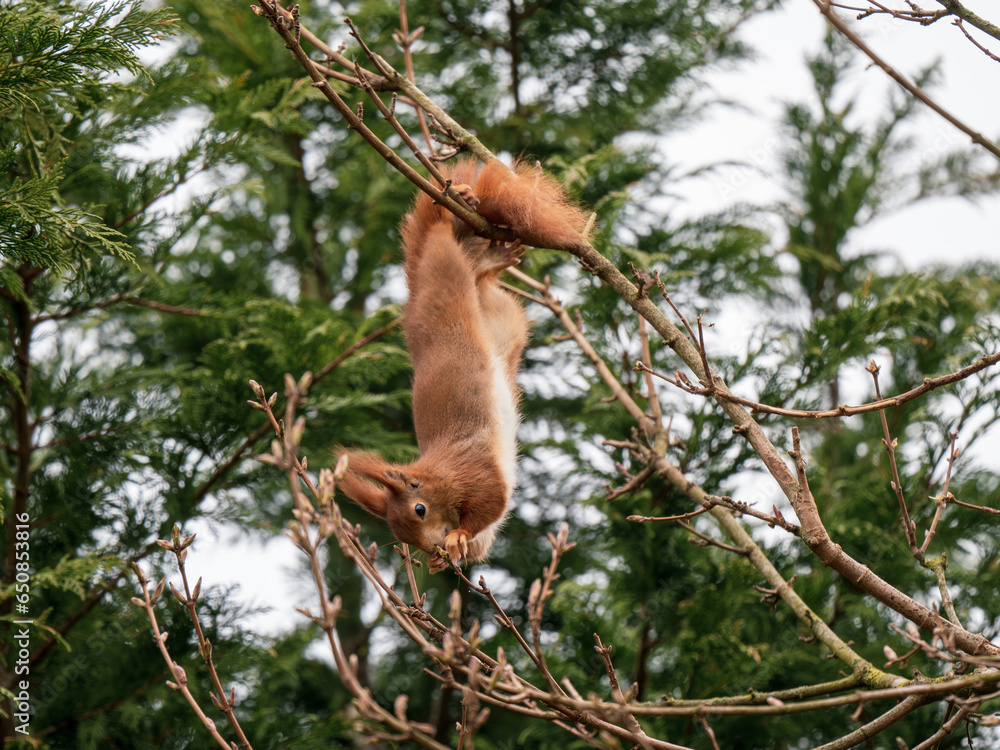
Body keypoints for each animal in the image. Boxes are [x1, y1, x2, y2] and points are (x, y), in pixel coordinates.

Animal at [336, 158, 587, 572]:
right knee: (476, 271)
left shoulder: (475, 474)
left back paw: (449, 216)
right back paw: (486, 256)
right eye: (401, 535)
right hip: (497, 314)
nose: (433, 550)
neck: (439, 472)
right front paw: (448, 557)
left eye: (419, 509)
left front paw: (457, 536)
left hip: (444, 277)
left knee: (445, 244)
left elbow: (492, 503)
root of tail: (414, 296)